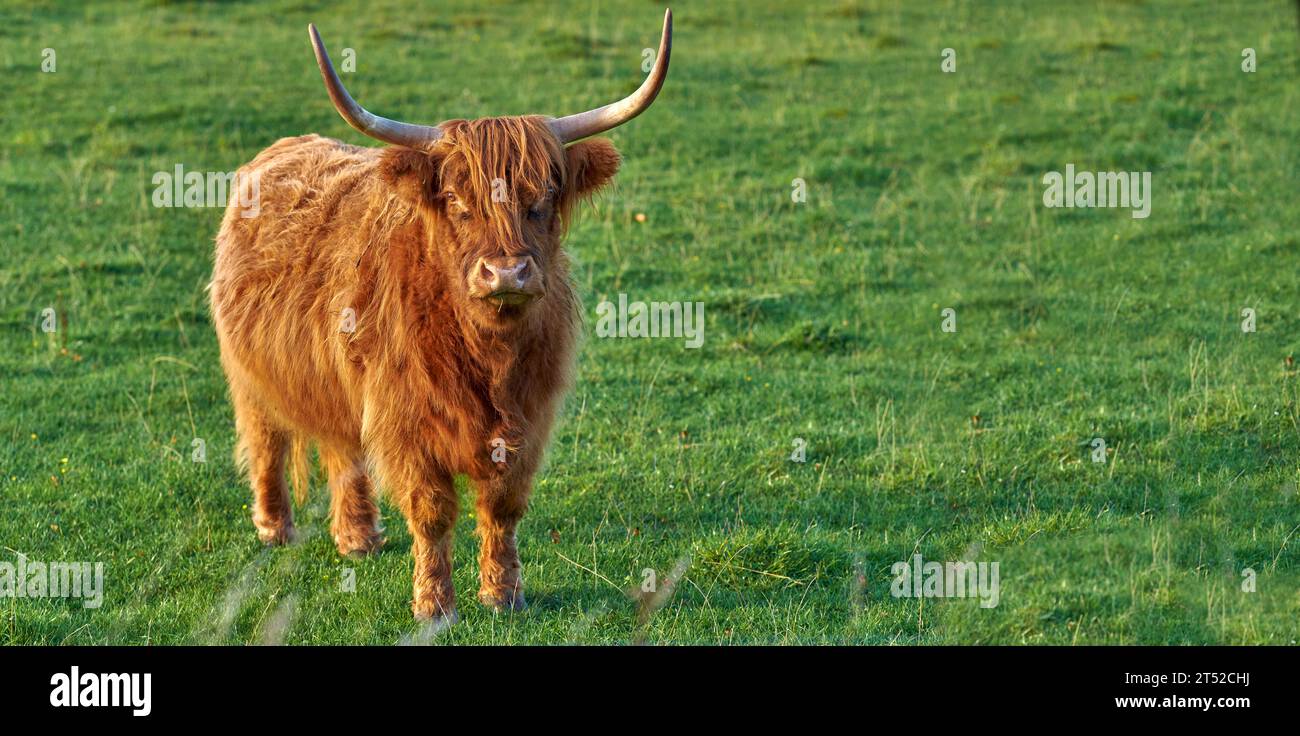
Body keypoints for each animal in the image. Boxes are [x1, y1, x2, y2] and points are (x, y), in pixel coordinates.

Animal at [209, 11, 672, 622]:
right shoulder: (405, 421)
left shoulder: (528, 420)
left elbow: (502, 507)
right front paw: (434, 605)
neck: (487, 354)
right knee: (265, 442)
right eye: (455, 199)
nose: (506, 273)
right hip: (250, 376)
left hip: (335, 376)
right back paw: (274, 528)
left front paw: (503, 595)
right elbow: (431, 512)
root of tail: (287, 146)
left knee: (343, 449)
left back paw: (358, 538)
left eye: (545, 195)